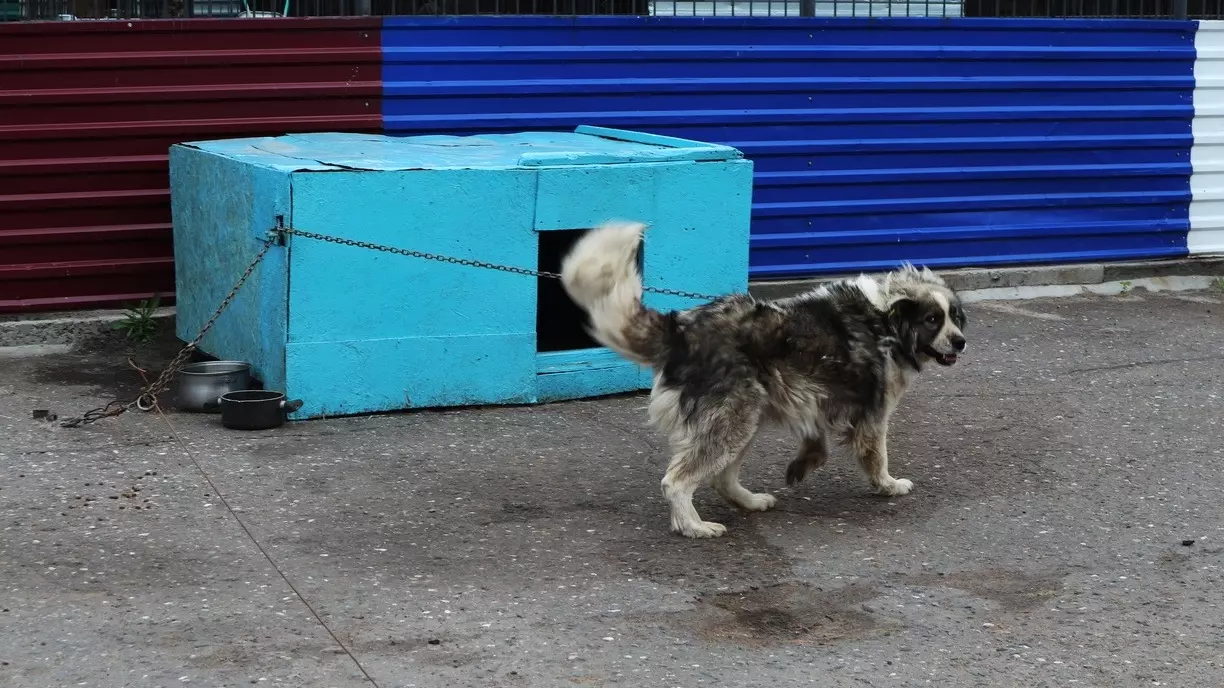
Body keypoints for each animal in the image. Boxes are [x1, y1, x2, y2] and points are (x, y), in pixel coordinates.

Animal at [560, 219, 969, 536]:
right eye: (932, 319)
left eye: (954, 317)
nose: (961, 342)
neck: (886, 318)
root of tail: (682, 332)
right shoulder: (872, 412)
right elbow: (876, 456)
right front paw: (888, 485)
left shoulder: (813, 396)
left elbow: (817, 444)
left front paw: (802, 466)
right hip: (734, 419)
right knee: (677, 480)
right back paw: (693, 526)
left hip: (746, 416)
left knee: (720, 478)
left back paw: (750, 501)